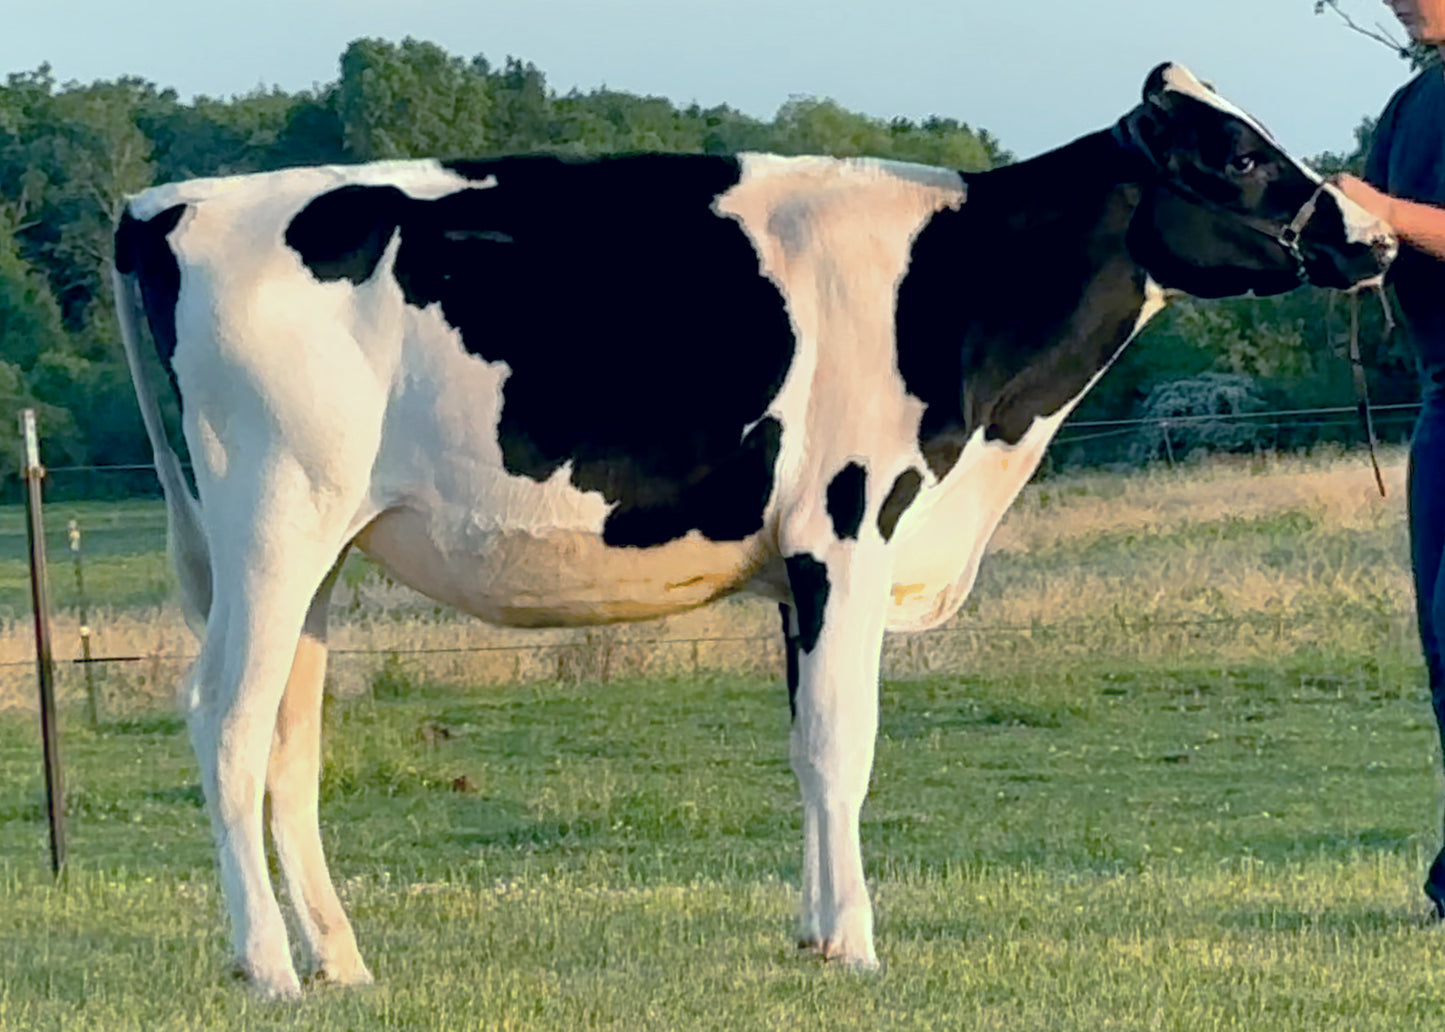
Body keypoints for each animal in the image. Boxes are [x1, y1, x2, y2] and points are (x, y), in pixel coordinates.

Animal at [111, 63, 1393, 997]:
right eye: (1238, 154)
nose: (1373, 237)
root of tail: (171, 207)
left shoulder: (799, 569)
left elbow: (803, 745)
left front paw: (814, 935)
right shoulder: (843, 531)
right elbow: (841, 744)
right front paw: (857, 944)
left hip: (311, 548)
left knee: (289, 740)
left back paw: (340, 960)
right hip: (272, 521)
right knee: (224, 721)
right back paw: (267, 968)